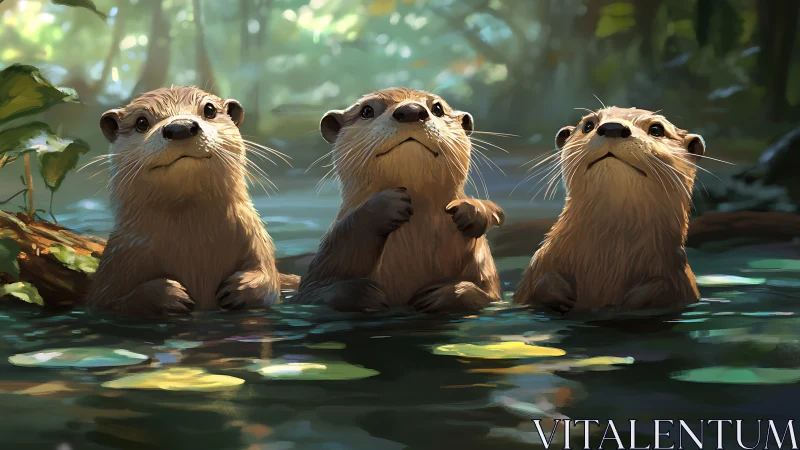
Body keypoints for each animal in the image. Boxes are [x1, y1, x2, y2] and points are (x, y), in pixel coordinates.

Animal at [88, 86, 283, 316]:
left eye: (209, 109)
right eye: (141, 122)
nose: (180, 127)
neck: (193, 243)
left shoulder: (257, 241)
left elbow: (270, 283)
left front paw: (242, 288)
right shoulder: (114, 266)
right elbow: (111, 302)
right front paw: (166, 294)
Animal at [293, 87, 505, 314]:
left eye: (437, 108)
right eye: (366, 110)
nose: (411, 110)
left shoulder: (489, 282)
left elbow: (486, 296)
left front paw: (471, 211)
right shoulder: (319, 271)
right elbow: (322, 291)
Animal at [515, 107, 706, 313]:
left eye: (657, 129)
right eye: (588, 125)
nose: (613, 127)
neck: (606, 258)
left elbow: (664, 288)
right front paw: (558, 293)